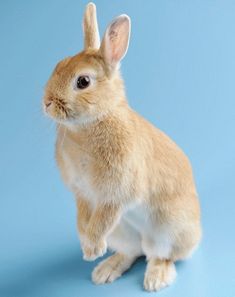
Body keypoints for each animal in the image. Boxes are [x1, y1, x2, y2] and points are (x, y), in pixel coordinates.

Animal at [43, 1, 201, 290]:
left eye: (83, 81)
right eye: (58, 64)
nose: (47, 102)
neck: (90, 125)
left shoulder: (116, 193)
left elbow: (103, 217)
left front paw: (91, 249)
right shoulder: (83, 194)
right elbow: (83, 217)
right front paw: (88, 248)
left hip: (168, 231)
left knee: (160, 255)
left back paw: (155, 279)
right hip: (122, 234)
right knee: (132, 252)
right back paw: (105, 269)